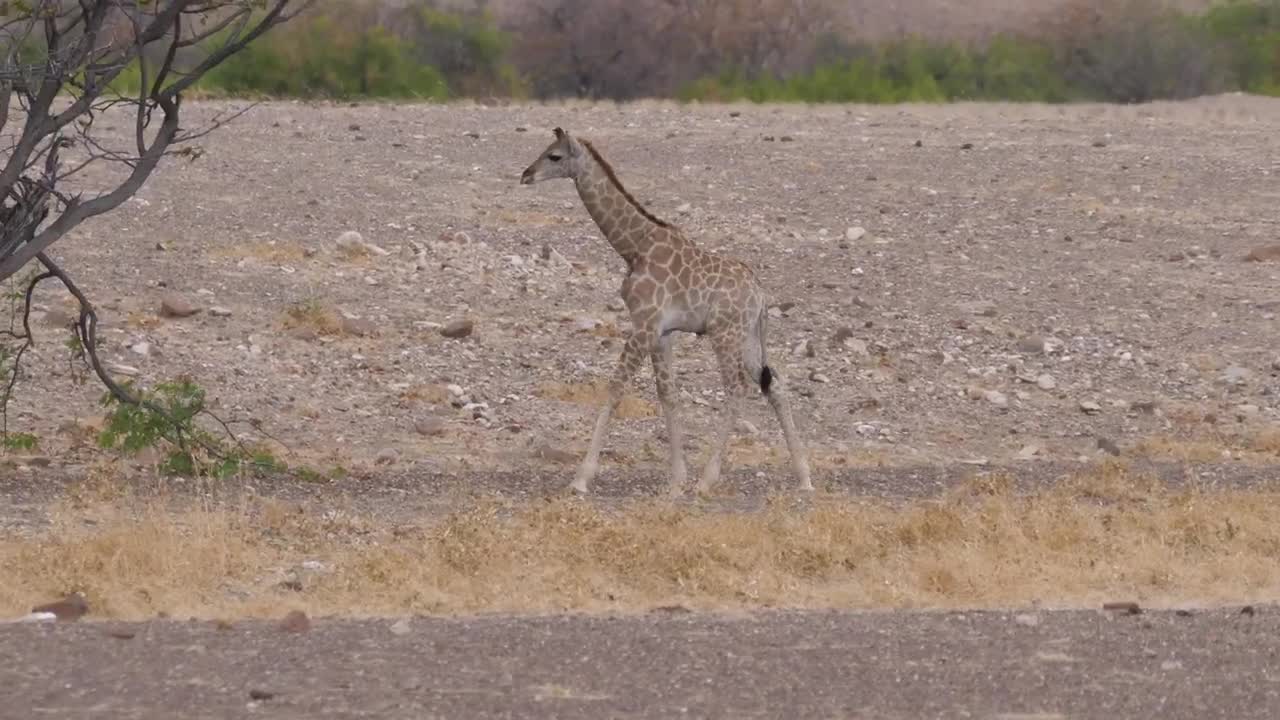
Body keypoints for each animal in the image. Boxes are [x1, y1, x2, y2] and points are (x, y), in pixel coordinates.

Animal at [520, 127, 812, 497]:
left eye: (554, 156)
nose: (525, 175)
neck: (634, 247)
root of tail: (760, 295)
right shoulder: (662, 332)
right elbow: (667, 394)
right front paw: (676, 478)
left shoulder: (643, 324)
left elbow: (615, 390)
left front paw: (581, 478)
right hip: (747, 336)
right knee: (775, 384)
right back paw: (804, 477)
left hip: (725, 333)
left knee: (736, 388)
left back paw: (708, 479)